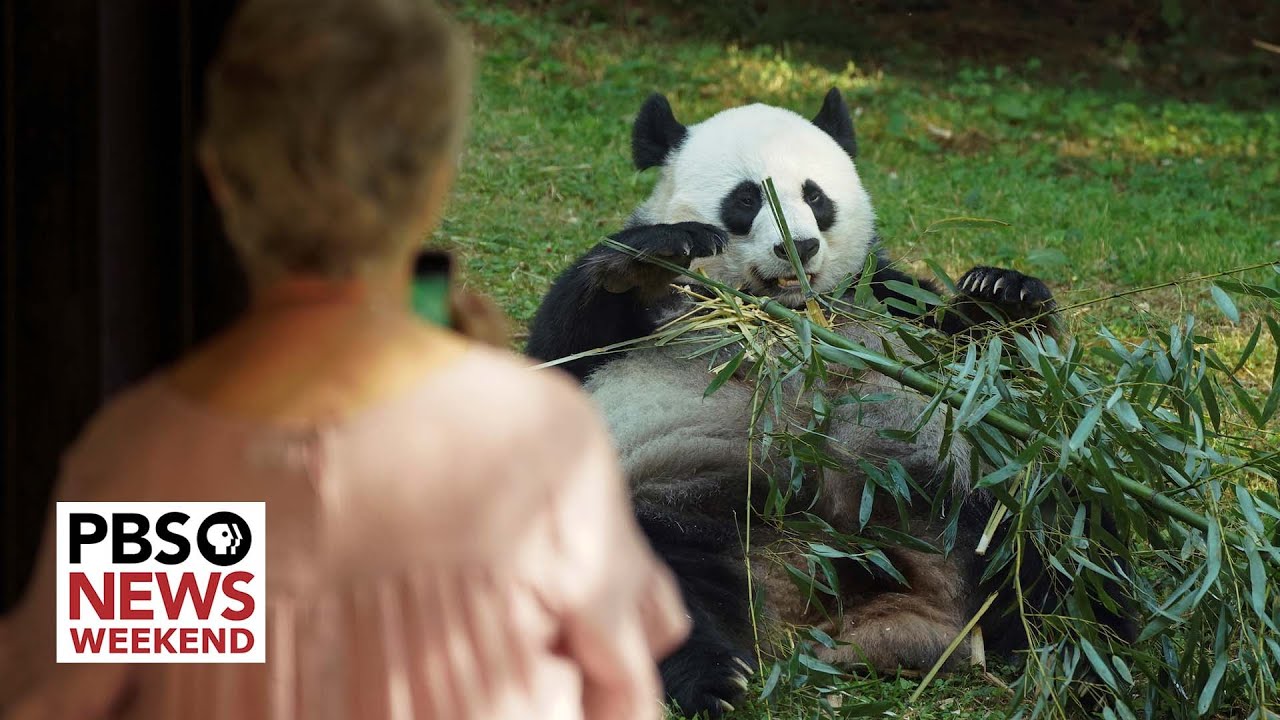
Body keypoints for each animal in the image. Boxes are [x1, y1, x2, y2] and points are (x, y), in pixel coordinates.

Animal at [526, 88, 1134, 718]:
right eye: (746, 199)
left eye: (815, 197)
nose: (800, 245)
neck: (791, 317)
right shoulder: (650, 322)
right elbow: (559, 354)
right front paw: (651, 255)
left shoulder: (886, 299)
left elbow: (991, 363)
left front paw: (1003, 294)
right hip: (683, 512)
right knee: (642, 587)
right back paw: (715, 679)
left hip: (975, 498)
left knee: (1062, 536)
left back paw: (1095, 668)